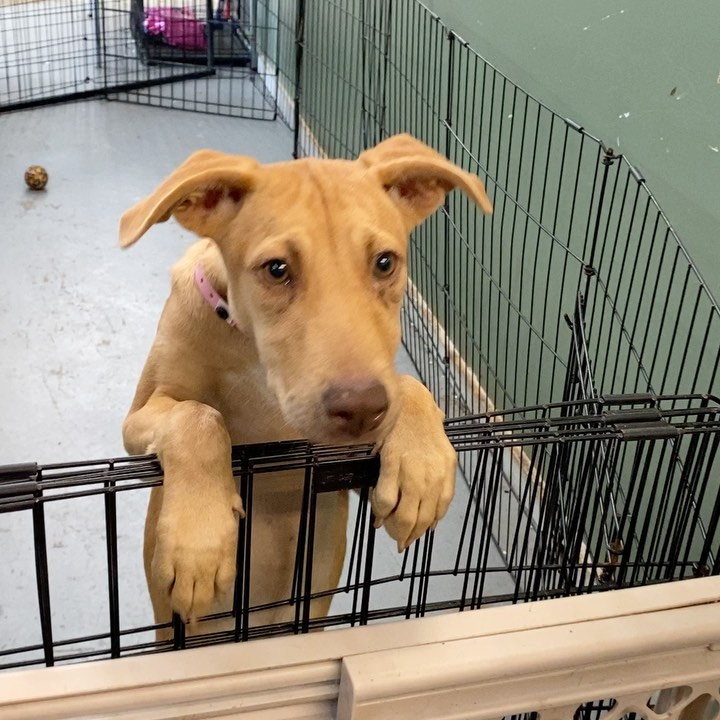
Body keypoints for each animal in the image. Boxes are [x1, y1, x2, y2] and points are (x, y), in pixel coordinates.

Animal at [118, 132, 492, 632]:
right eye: (277, 269)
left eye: (385, 263)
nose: (361, 409)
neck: (257, 365)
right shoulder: (139, 417)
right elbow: (198, 414)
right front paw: (198, 540)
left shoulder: (345, 469)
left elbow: (410, 387)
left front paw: (421, 467)